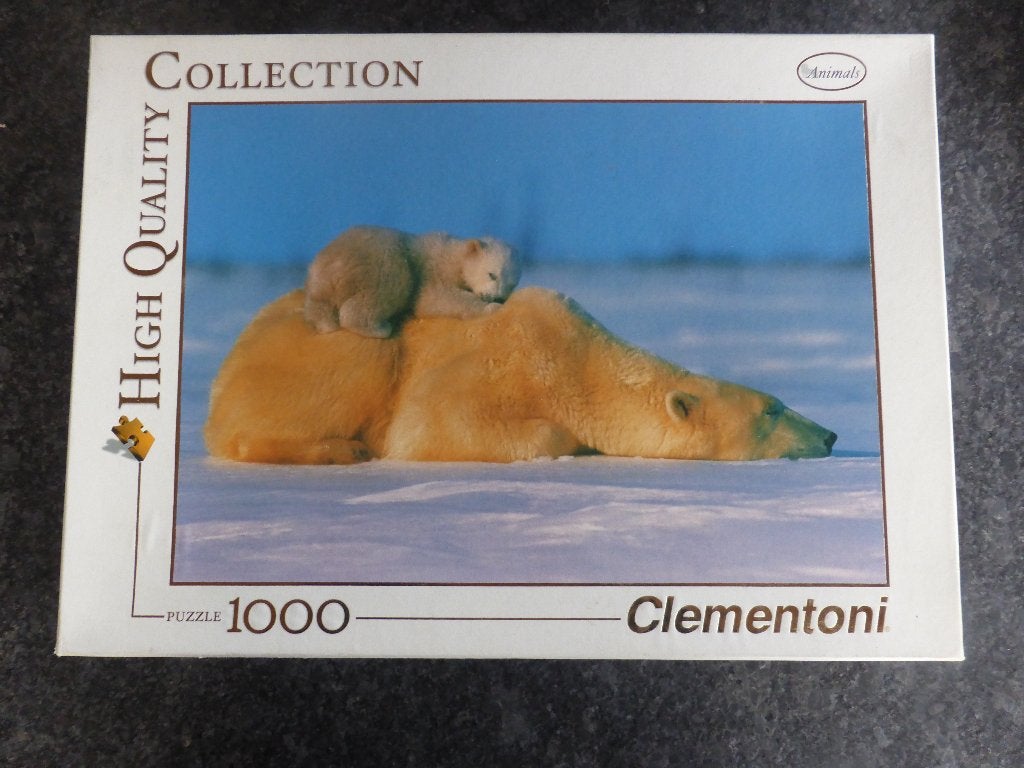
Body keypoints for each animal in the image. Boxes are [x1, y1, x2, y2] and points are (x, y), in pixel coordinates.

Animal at [204, 286, 837, 465]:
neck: (581, 361)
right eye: (772, 409)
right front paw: (575, 444)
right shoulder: (500, 365)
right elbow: (431, 425)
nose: (831, 434)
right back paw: (339, 449)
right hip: (323, 354)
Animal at [303, 225, 521, 337]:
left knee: (319, 304)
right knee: (390, 284)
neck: (455, 254)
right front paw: (491, 308)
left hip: (321, 283)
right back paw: (380, 328)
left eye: (512, 284)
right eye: (492, 274)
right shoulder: (433, 271)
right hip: (384, 259)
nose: (499, 298)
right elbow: (435, 298)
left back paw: (324, 324)